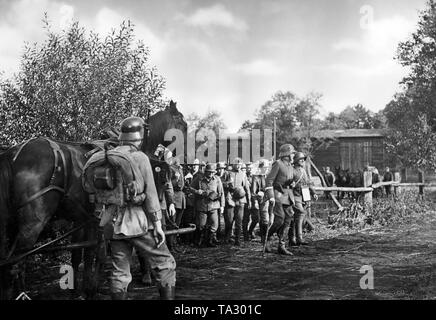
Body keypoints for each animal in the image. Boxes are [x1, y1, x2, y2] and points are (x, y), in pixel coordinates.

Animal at [0, 100, 186, 300]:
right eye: (183, 123)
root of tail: (13, 154)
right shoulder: (99, 222)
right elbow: (98, 253)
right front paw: (90, 288)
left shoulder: (85, 220)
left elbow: (82, 254)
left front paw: (80, 289)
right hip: (32, 222)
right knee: (15, 264)